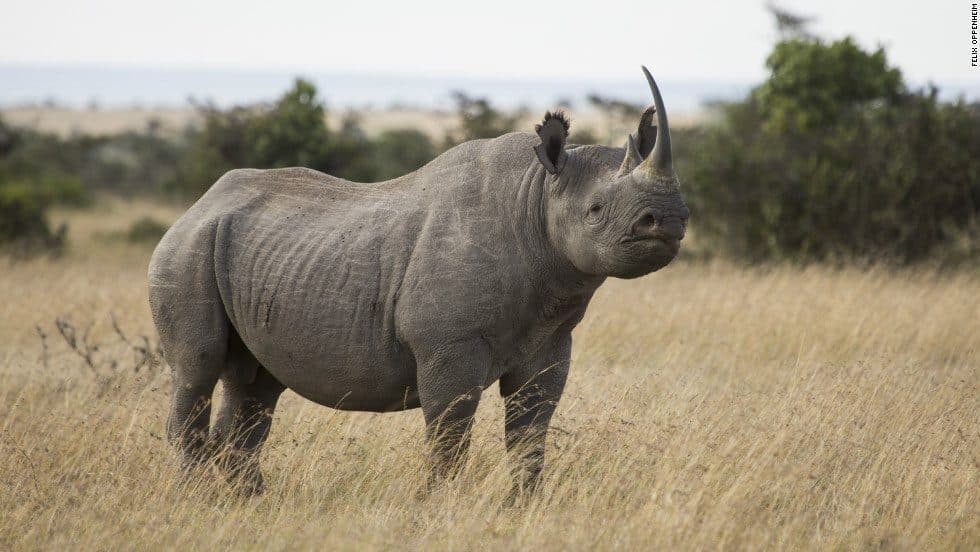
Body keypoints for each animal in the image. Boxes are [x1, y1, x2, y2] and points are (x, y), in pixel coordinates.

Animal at [148, 67, 689, 495]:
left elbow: (531, 429)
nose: (667, 219)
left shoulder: (551, 339)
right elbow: (450, 435)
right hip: (184, 252)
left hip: (252, 255)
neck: (536, 197)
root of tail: (195, 206)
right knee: (198, 367)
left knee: (256, 385)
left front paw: (525, 507)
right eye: (595, 210)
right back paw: (197, 498)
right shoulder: (448, 343)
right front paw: (440, 506)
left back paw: (248, 501)